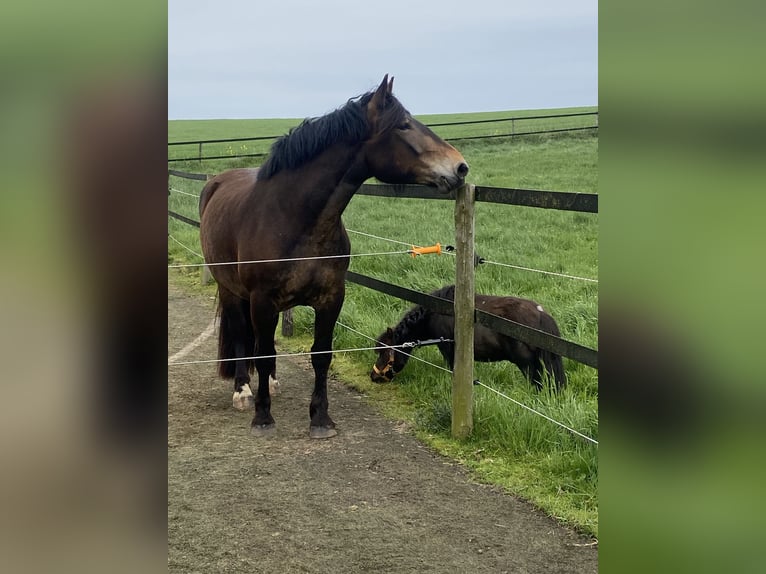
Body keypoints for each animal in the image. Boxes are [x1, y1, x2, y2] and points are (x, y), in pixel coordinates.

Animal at [199, 76, 469, 438]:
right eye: (403, 125)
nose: (460, 167)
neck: (294, 219)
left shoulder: (331, 297)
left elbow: (320, 355)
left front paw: (320, 418)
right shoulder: (261, 300)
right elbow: (263, 351)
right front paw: (263, 417)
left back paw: (273, 383)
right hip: (231, 291)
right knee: (243, 335)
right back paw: (242, 391)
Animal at [370, 285, 567, 391]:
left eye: (384, 352)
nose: (373, 375)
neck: (437, 311)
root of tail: (540, 313)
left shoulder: (448, 349)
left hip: (527, 364)